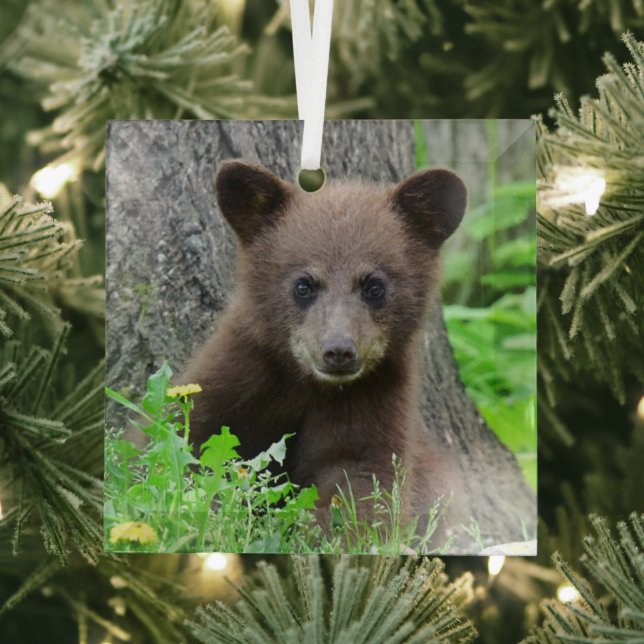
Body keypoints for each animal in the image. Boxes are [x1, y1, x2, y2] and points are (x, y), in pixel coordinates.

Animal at [180, 160, 469, 546]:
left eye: (374, 286)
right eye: (303, 285)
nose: (338, 351)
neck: (308, 383)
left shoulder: (372, 399)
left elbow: (360, 480)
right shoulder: (239, 375)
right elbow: (191, 438)